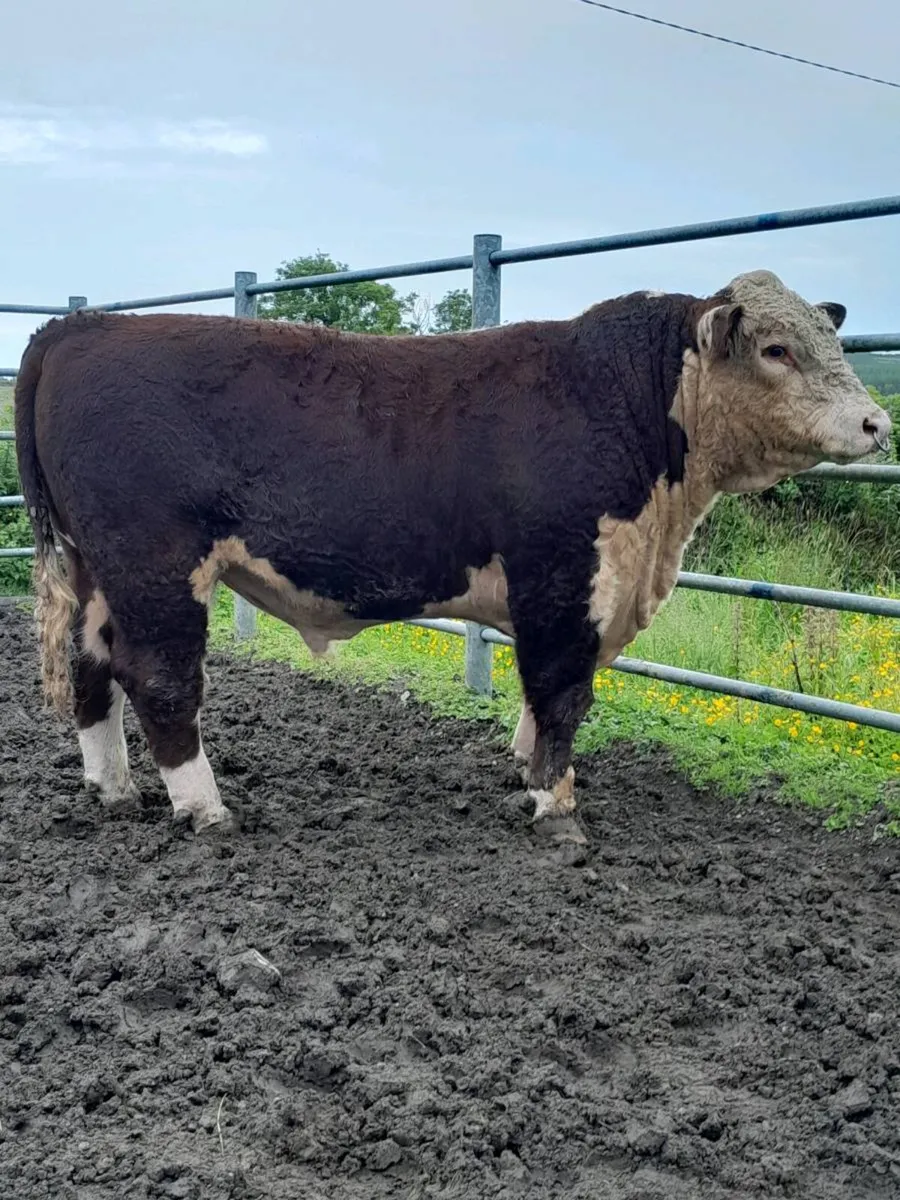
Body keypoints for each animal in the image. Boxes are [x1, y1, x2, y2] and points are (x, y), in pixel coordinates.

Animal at [14, 269, 891, 847]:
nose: (878, 423)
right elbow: (562, 693)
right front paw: (556, 808)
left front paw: (526, 774)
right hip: (155, 562)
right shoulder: (564, 580)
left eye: (831, 339)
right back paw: (205, 809)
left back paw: (113, 791)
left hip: (95, 569)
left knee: (93, 670)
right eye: (775, 349)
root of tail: (81, 327)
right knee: (159, 678)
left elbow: (539, 701)